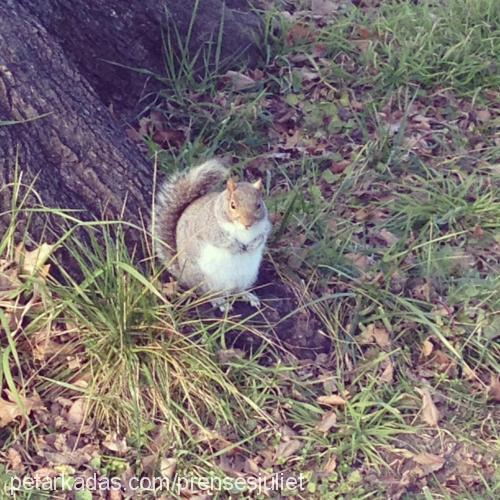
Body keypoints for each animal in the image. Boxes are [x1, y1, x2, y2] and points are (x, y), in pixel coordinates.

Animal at [154, 160, 272, 308]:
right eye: (232, 205)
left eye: (259, 205)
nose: (247, 224)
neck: (243, 231)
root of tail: (183, 276)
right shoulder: (209, 229)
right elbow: (221, 240)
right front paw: (236, 246)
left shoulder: (265, 227)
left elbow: (262, 237)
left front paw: (253, 245)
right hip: (202, 278)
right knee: (206, 293)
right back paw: (220, 301)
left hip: (247, 275)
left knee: (236, 290)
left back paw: (248, 295)